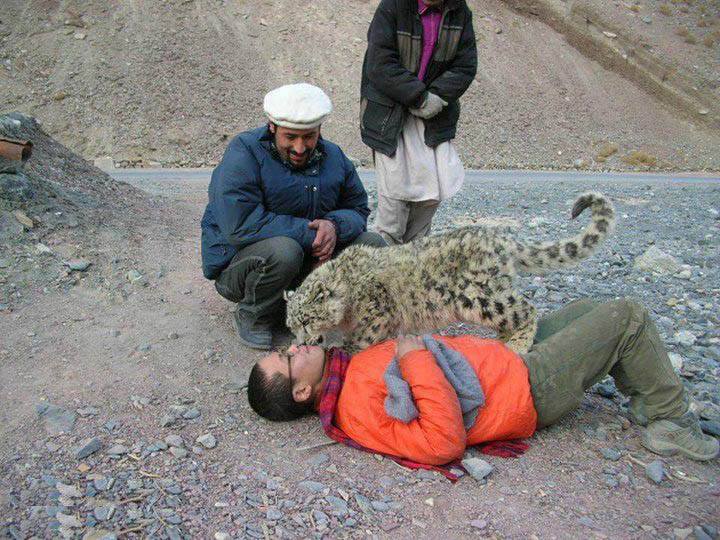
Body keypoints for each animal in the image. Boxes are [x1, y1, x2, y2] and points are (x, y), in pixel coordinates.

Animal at [284, 193, 616, 354]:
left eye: (307, 320)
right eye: (292, 325)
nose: (302, 341)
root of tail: (502, 238)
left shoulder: (377, 312)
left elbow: (365, 336)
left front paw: (345, 347)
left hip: (483, 296)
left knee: (527, 309)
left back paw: (517, 345)